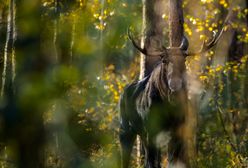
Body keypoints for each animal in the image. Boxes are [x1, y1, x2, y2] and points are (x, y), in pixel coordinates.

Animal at [119, 25, 226, 167]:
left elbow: (172, 161)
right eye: (164, 60)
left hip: (142, 134)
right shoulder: (151, 130)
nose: (175, 85)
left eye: (184, 59)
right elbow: (153, 163)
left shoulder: (177, 130)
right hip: (125, 129)